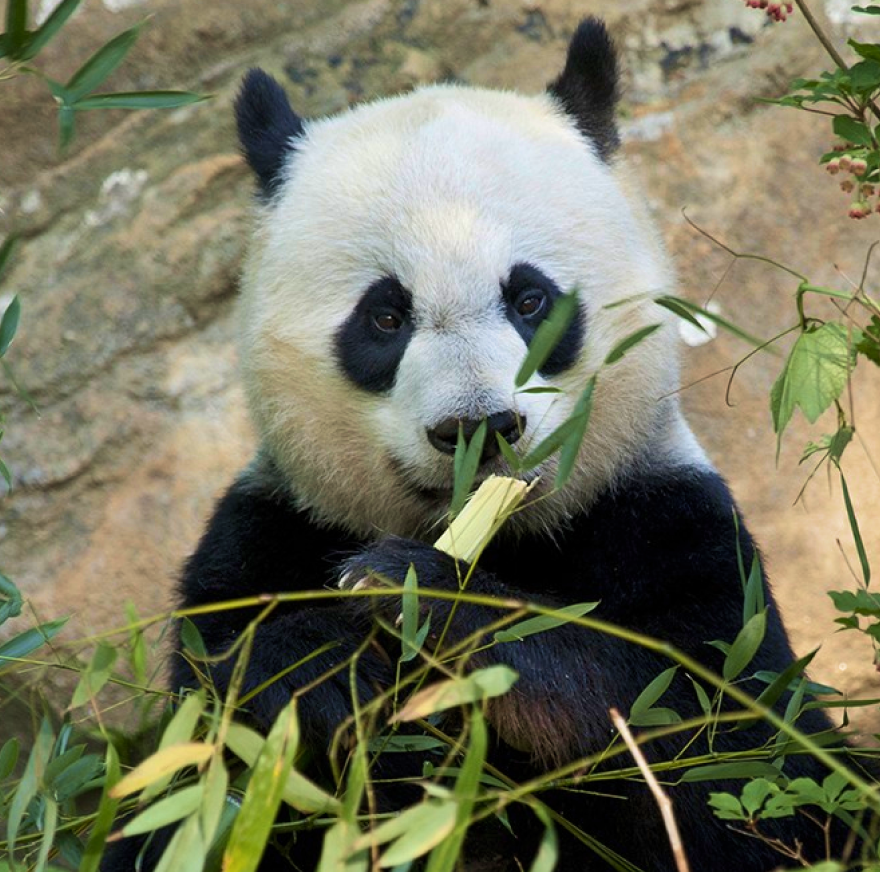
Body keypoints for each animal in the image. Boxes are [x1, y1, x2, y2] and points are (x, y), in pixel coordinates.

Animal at [107, 18, 848, 872]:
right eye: (384, 317)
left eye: (530, 300)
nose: (476, 429)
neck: (501, 536)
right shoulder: (269, 533)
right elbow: (198, 761)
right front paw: (320, 669)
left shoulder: (669, 523)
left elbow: (738, 763)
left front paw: (421, 594)